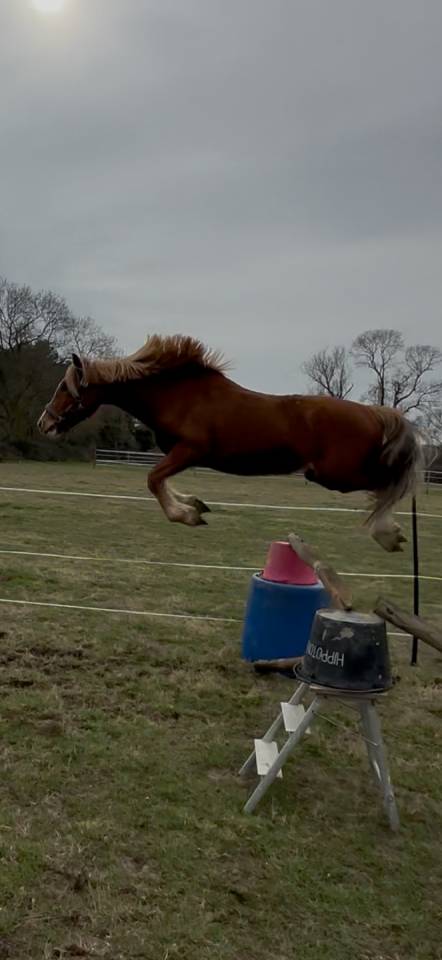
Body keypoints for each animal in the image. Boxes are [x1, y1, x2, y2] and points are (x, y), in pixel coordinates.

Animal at [37, 334, 421, 552]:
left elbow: (153, 479)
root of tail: (374, 413)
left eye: (65, 388)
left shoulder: (190, 450)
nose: (44, 424)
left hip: (334, 475)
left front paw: (186, 515)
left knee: (388, 484)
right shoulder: (180, 454)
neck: (178, 396)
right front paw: (195, 504)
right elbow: (161, 479)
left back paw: (388, 534)